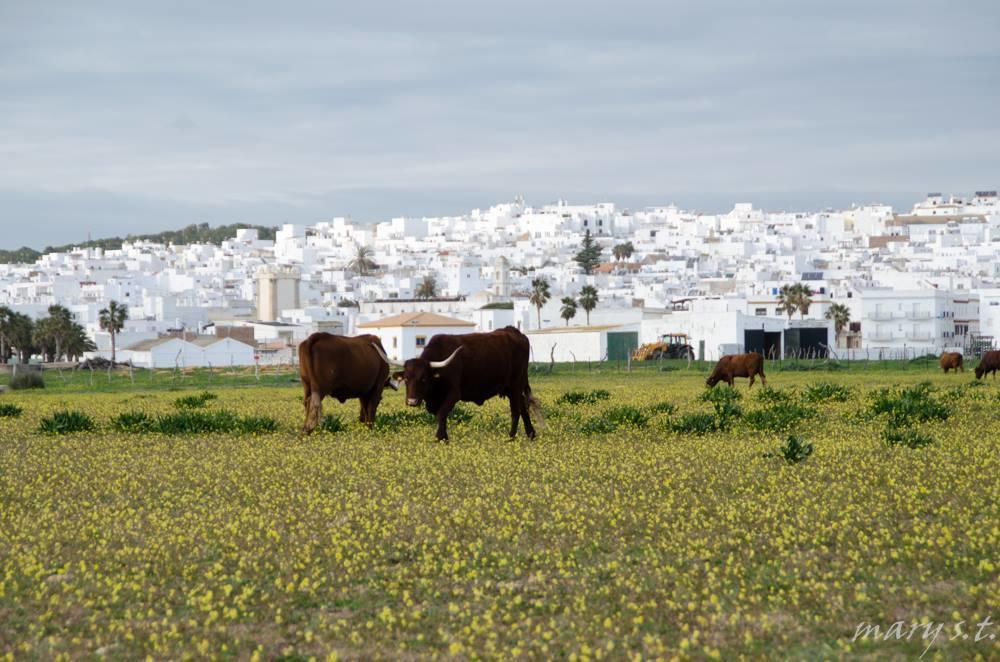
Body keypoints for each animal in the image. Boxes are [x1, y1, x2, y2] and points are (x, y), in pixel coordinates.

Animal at [394, 326, 544, 440]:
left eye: (424, 378)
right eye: (406, 379)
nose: (412, 401)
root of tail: (515, 332)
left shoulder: (454, 394)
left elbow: (441, 414)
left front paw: (440, 438)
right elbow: (440, 416)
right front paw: (444, 437)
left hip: (515, 386)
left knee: (516, 411)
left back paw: (511, 437)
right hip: (509, 388)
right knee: (523, 406)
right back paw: (531, 434)